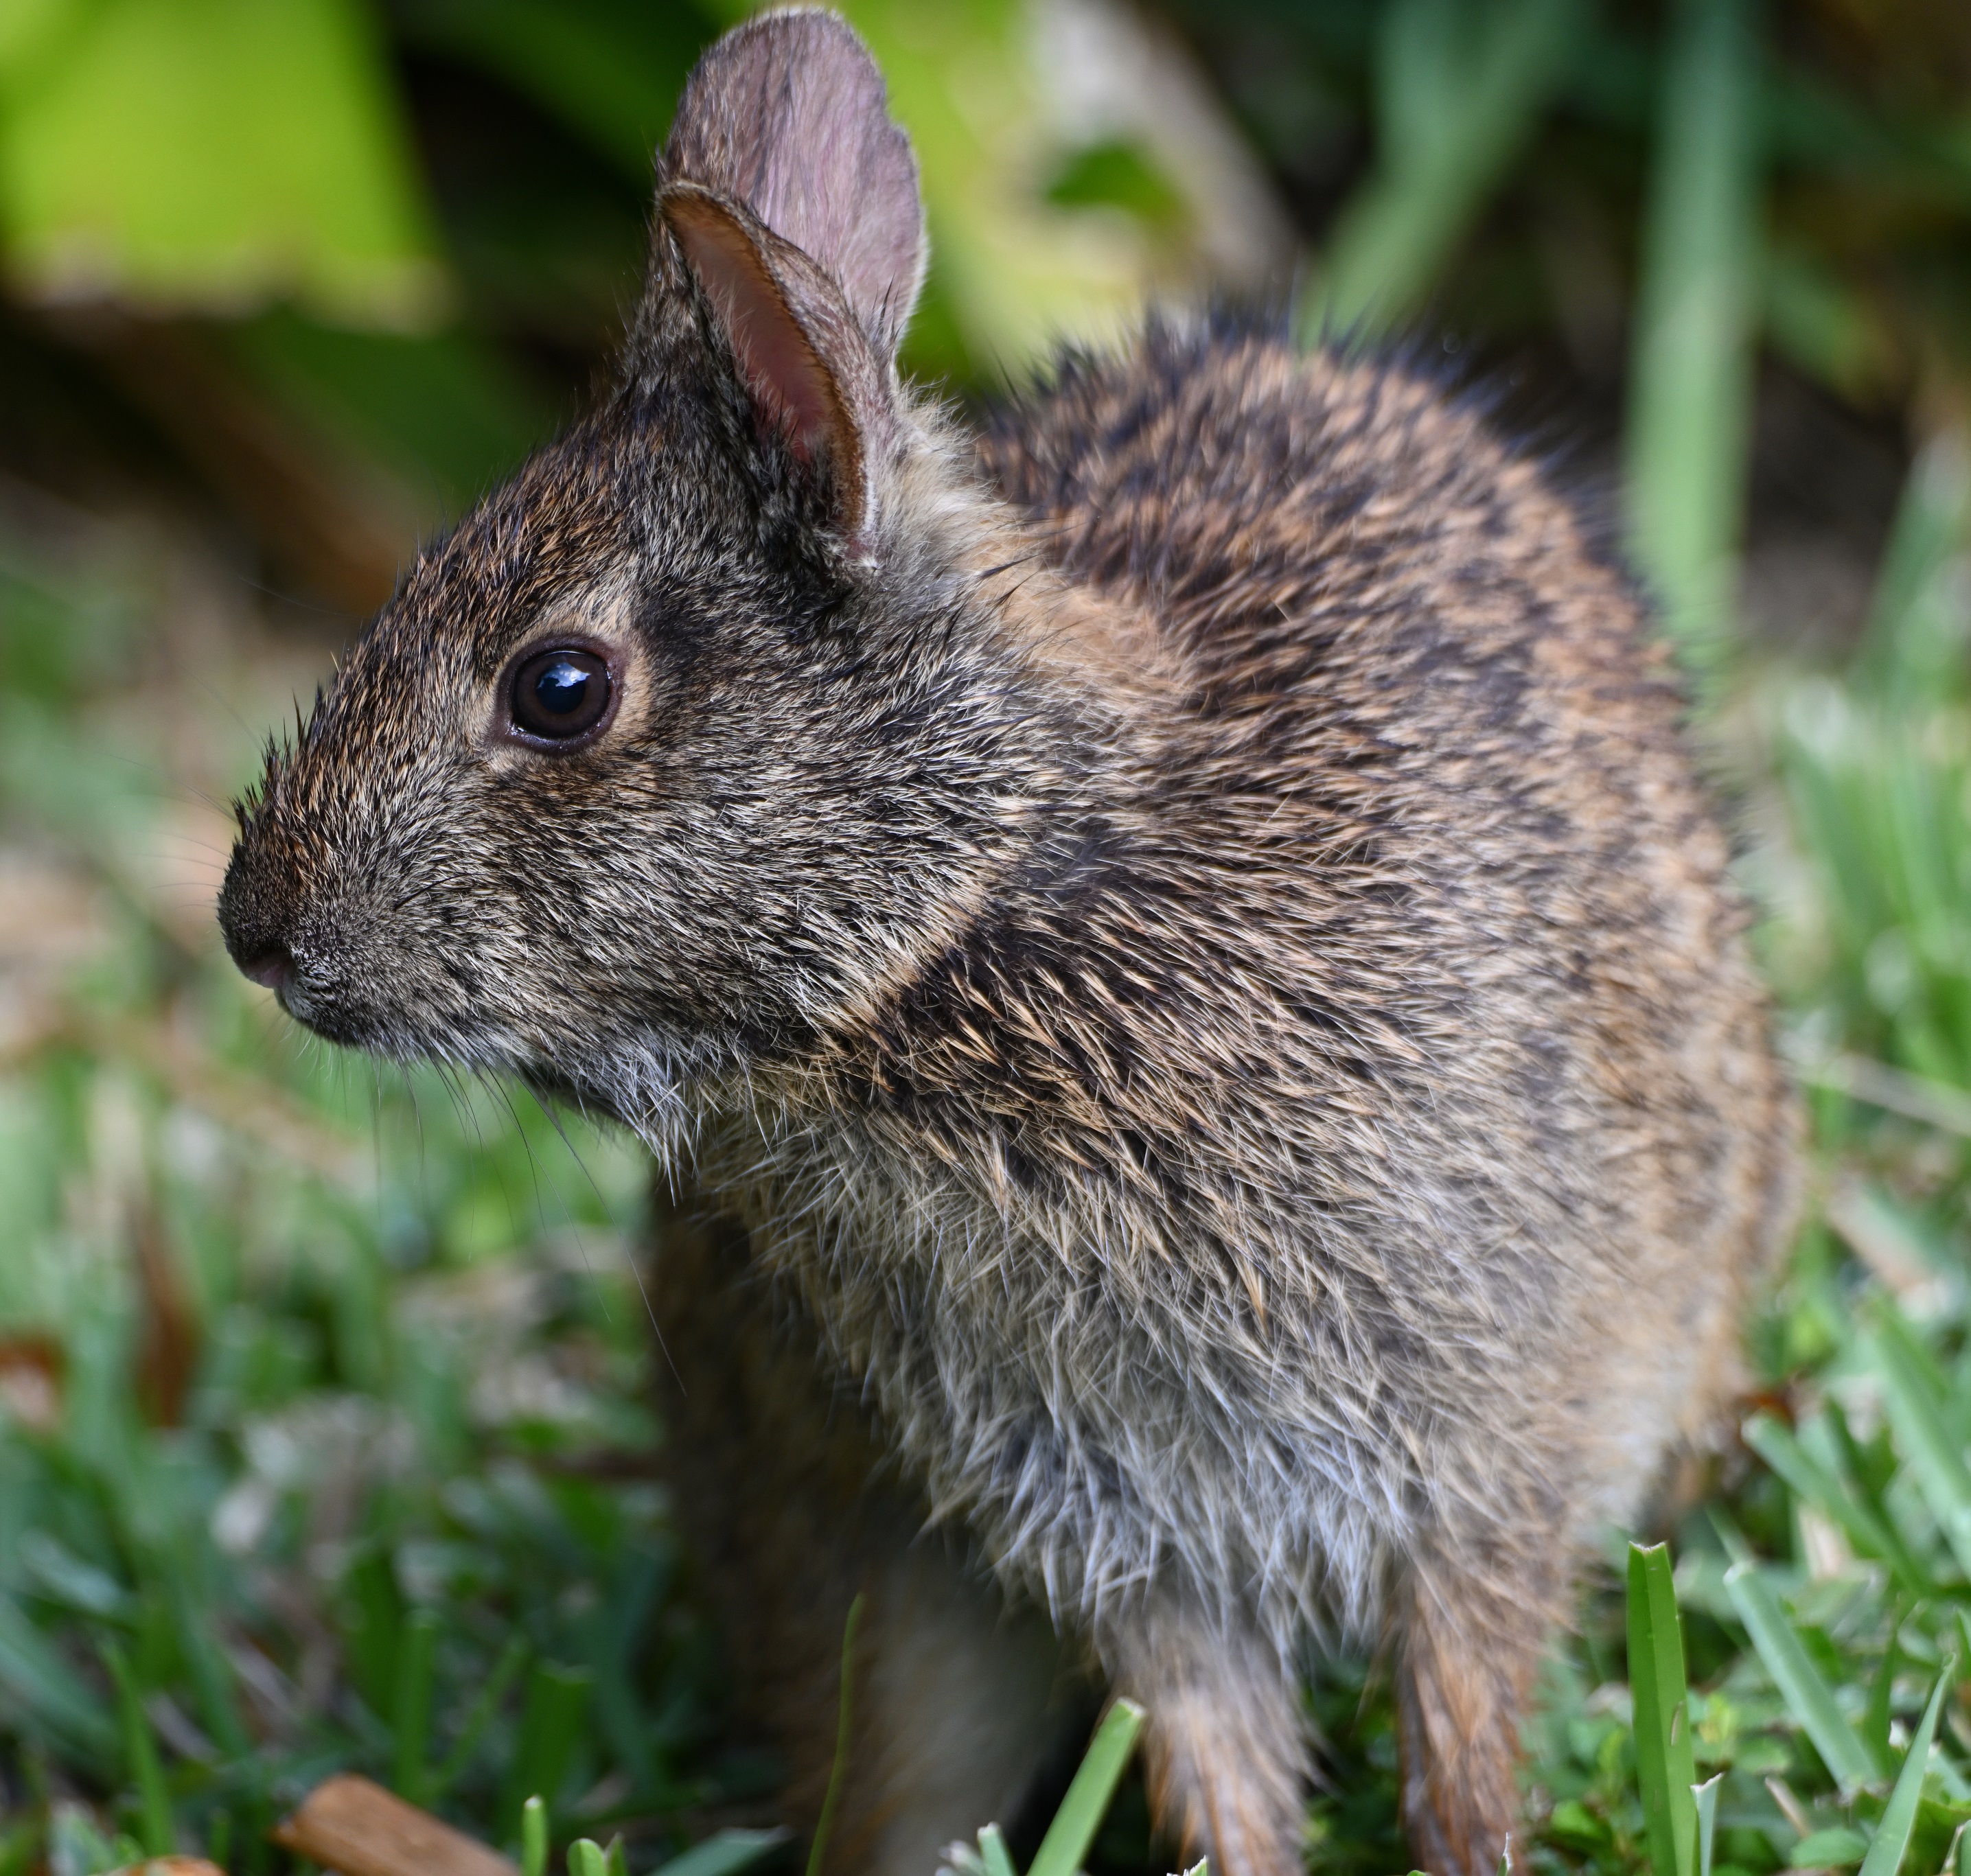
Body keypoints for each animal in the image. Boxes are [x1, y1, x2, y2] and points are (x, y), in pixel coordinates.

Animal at [217, 10, 1801, 1875]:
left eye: (559, 687)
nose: (255, 929)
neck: (983, 911)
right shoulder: (1106, 1507)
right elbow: (1205, 1729)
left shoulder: (1487, 1430)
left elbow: (1461, 1692)